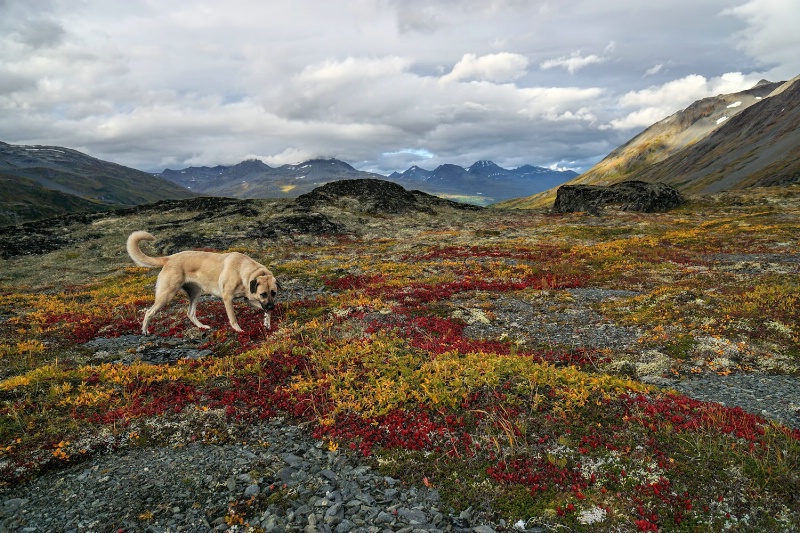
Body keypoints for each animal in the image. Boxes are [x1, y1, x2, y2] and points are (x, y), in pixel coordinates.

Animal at [126, 230, 280, 332]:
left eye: (273, 293)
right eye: (263, 294)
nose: (273, 307)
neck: (245, 271)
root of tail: (169, 258)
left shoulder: (249, 299)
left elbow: (264, 310)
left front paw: (267, 322)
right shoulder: (228, 299)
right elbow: (233, 318)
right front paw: (239, 331)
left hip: (195, 293)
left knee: (190, 313)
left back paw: (202, 326)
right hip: (166, 295)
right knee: (148, 312)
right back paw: (145, 331)